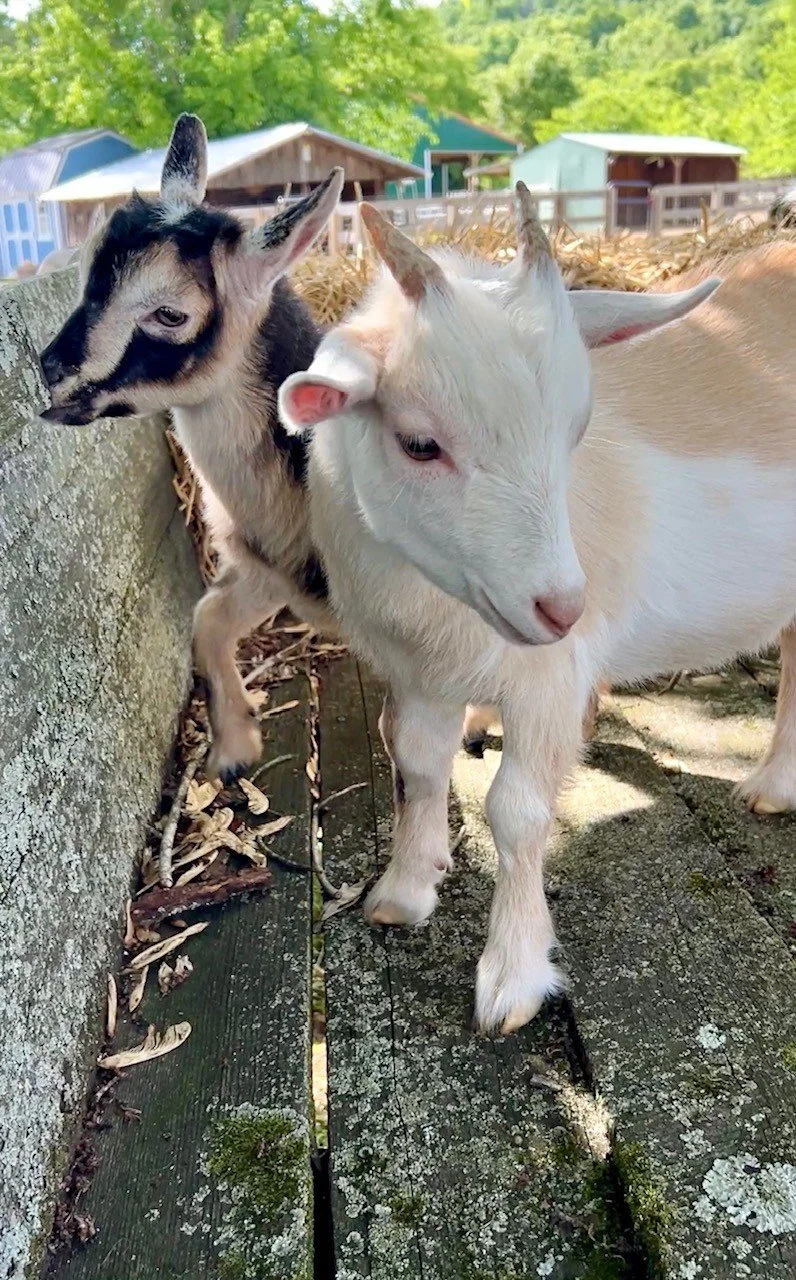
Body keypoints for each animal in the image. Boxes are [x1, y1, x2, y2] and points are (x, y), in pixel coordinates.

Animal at [39, 114, 343, 781]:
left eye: (170, 313)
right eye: (86, 274)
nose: (51, 367)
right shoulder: (267, 572)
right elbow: (205, 620)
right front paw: (234, 750)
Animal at [279, 190, 796, 1034]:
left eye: (575, 431)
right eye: (419, 443)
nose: (561, 607)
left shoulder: (550, 675)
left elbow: (517, 812)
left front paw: (513, 976)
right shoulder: (419, 668)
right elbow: (415, 763)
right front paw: (403, 890)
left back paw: (772, 782)